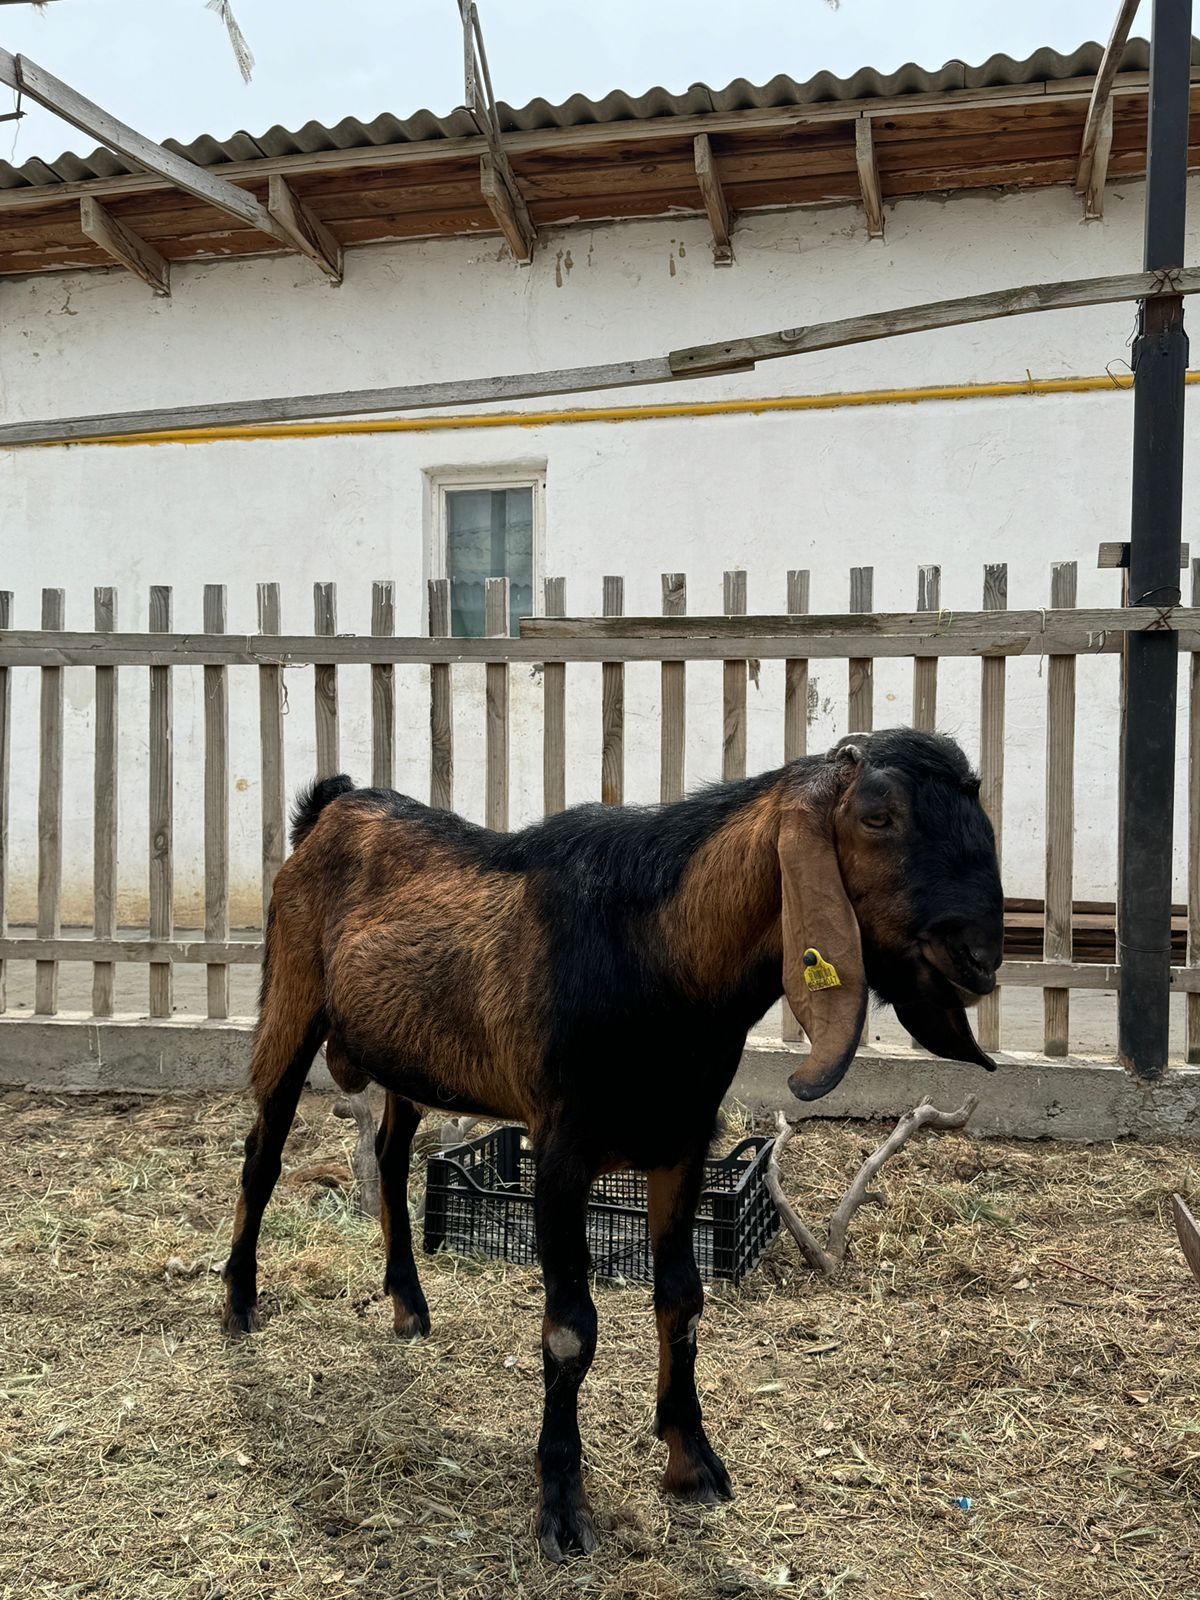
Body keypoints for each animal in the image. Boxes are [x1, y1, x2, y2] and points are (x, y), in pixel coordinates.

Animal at [224, 732, 1004, 1555]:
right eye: (877, 817)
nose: (981, 955)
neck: (657, 952)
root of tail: (332, 805)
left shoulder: (683, 1142)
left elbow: (682, 1301)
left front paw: (693, 1463)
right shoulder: (561, 1150)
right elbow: (571, 1330)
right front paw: (562, 1507)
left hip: (409, 1059)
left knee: (390, 1156)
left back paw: (409, 1306)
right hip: (291, 998)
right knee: (261, 1155)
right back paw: (238, 1305)